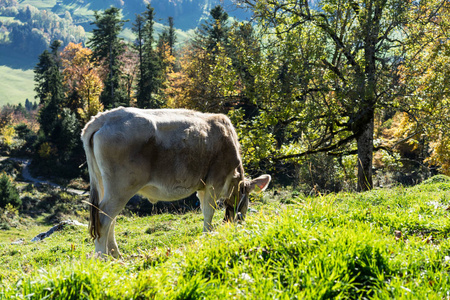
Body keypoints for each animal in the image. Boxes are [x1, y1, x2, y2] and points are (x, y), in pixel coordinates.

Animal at [81, 106, 270, 256]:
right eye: (247, 204)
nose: (239, 224)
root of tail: (103, 118)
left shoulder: (202, 186)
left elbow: (204, 210)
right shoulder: (214, 182)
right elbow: (209, 211)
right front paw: (208, 237)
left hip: (104, 184)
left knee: (108, 217)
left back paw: (115, 255)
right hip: (121, 187)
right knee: (103, 217)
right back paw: (102, 258)